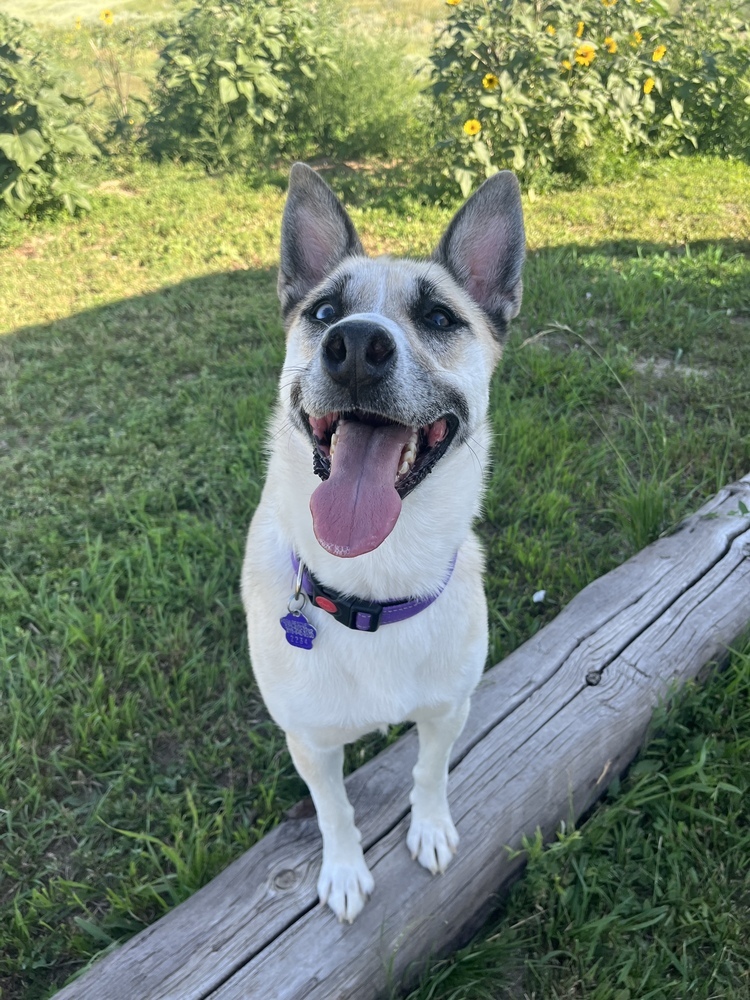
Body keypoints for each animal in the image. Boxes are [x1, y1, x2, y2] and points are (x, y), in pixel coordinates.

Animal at [244, 164, 524, 920]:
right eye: (323, 313)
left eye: (439, 319)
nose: (356, 348)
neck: (373, 587)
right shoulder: (310, 743)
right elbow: (333, 809)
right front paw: (343, 873)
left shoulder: (449, 710)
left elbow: (430, 772)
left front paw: (429, 830)